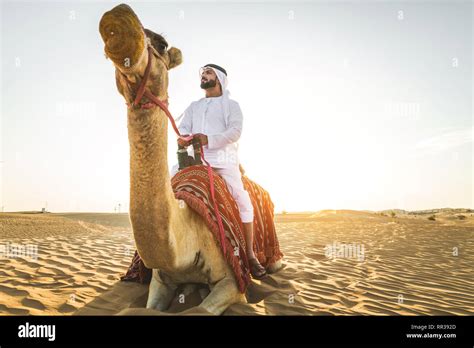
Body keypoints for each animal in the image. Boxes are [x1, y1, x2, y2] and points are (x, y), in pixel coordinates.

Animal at [97, 4, 280, 316]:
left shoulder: (232, 282)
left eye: (161, 43)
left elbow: (200, 309)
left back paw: (261, 265)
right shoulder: (160, 279)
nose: (119, 16)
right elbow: (139, 308)